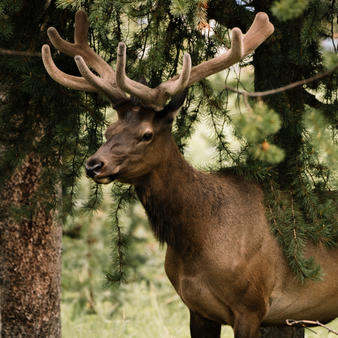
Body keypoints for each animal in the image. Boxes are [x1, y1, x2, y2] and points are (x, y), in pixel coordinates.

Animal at [41, 9, 338, 336]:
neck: (196, 241)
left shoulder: (251, 305)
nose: (93, 164)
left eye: (146, 134)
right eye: (109, 130)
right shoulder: (197, 309)